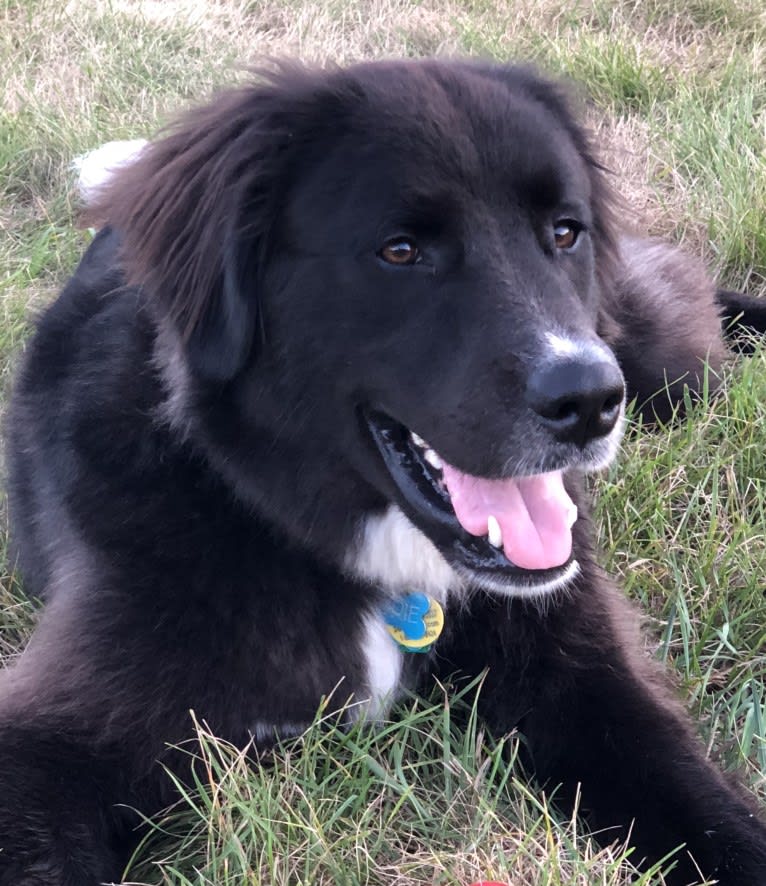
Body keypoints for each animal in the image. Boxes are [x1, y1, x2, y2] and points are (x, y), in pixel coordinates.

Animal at [1, 59, 766, 884]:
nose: (590, 401)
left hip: (666, 367)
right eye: (400, 252)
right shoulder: (50, 742)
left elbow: (705, 808)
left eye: (565, 233)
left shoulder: (589, 676)